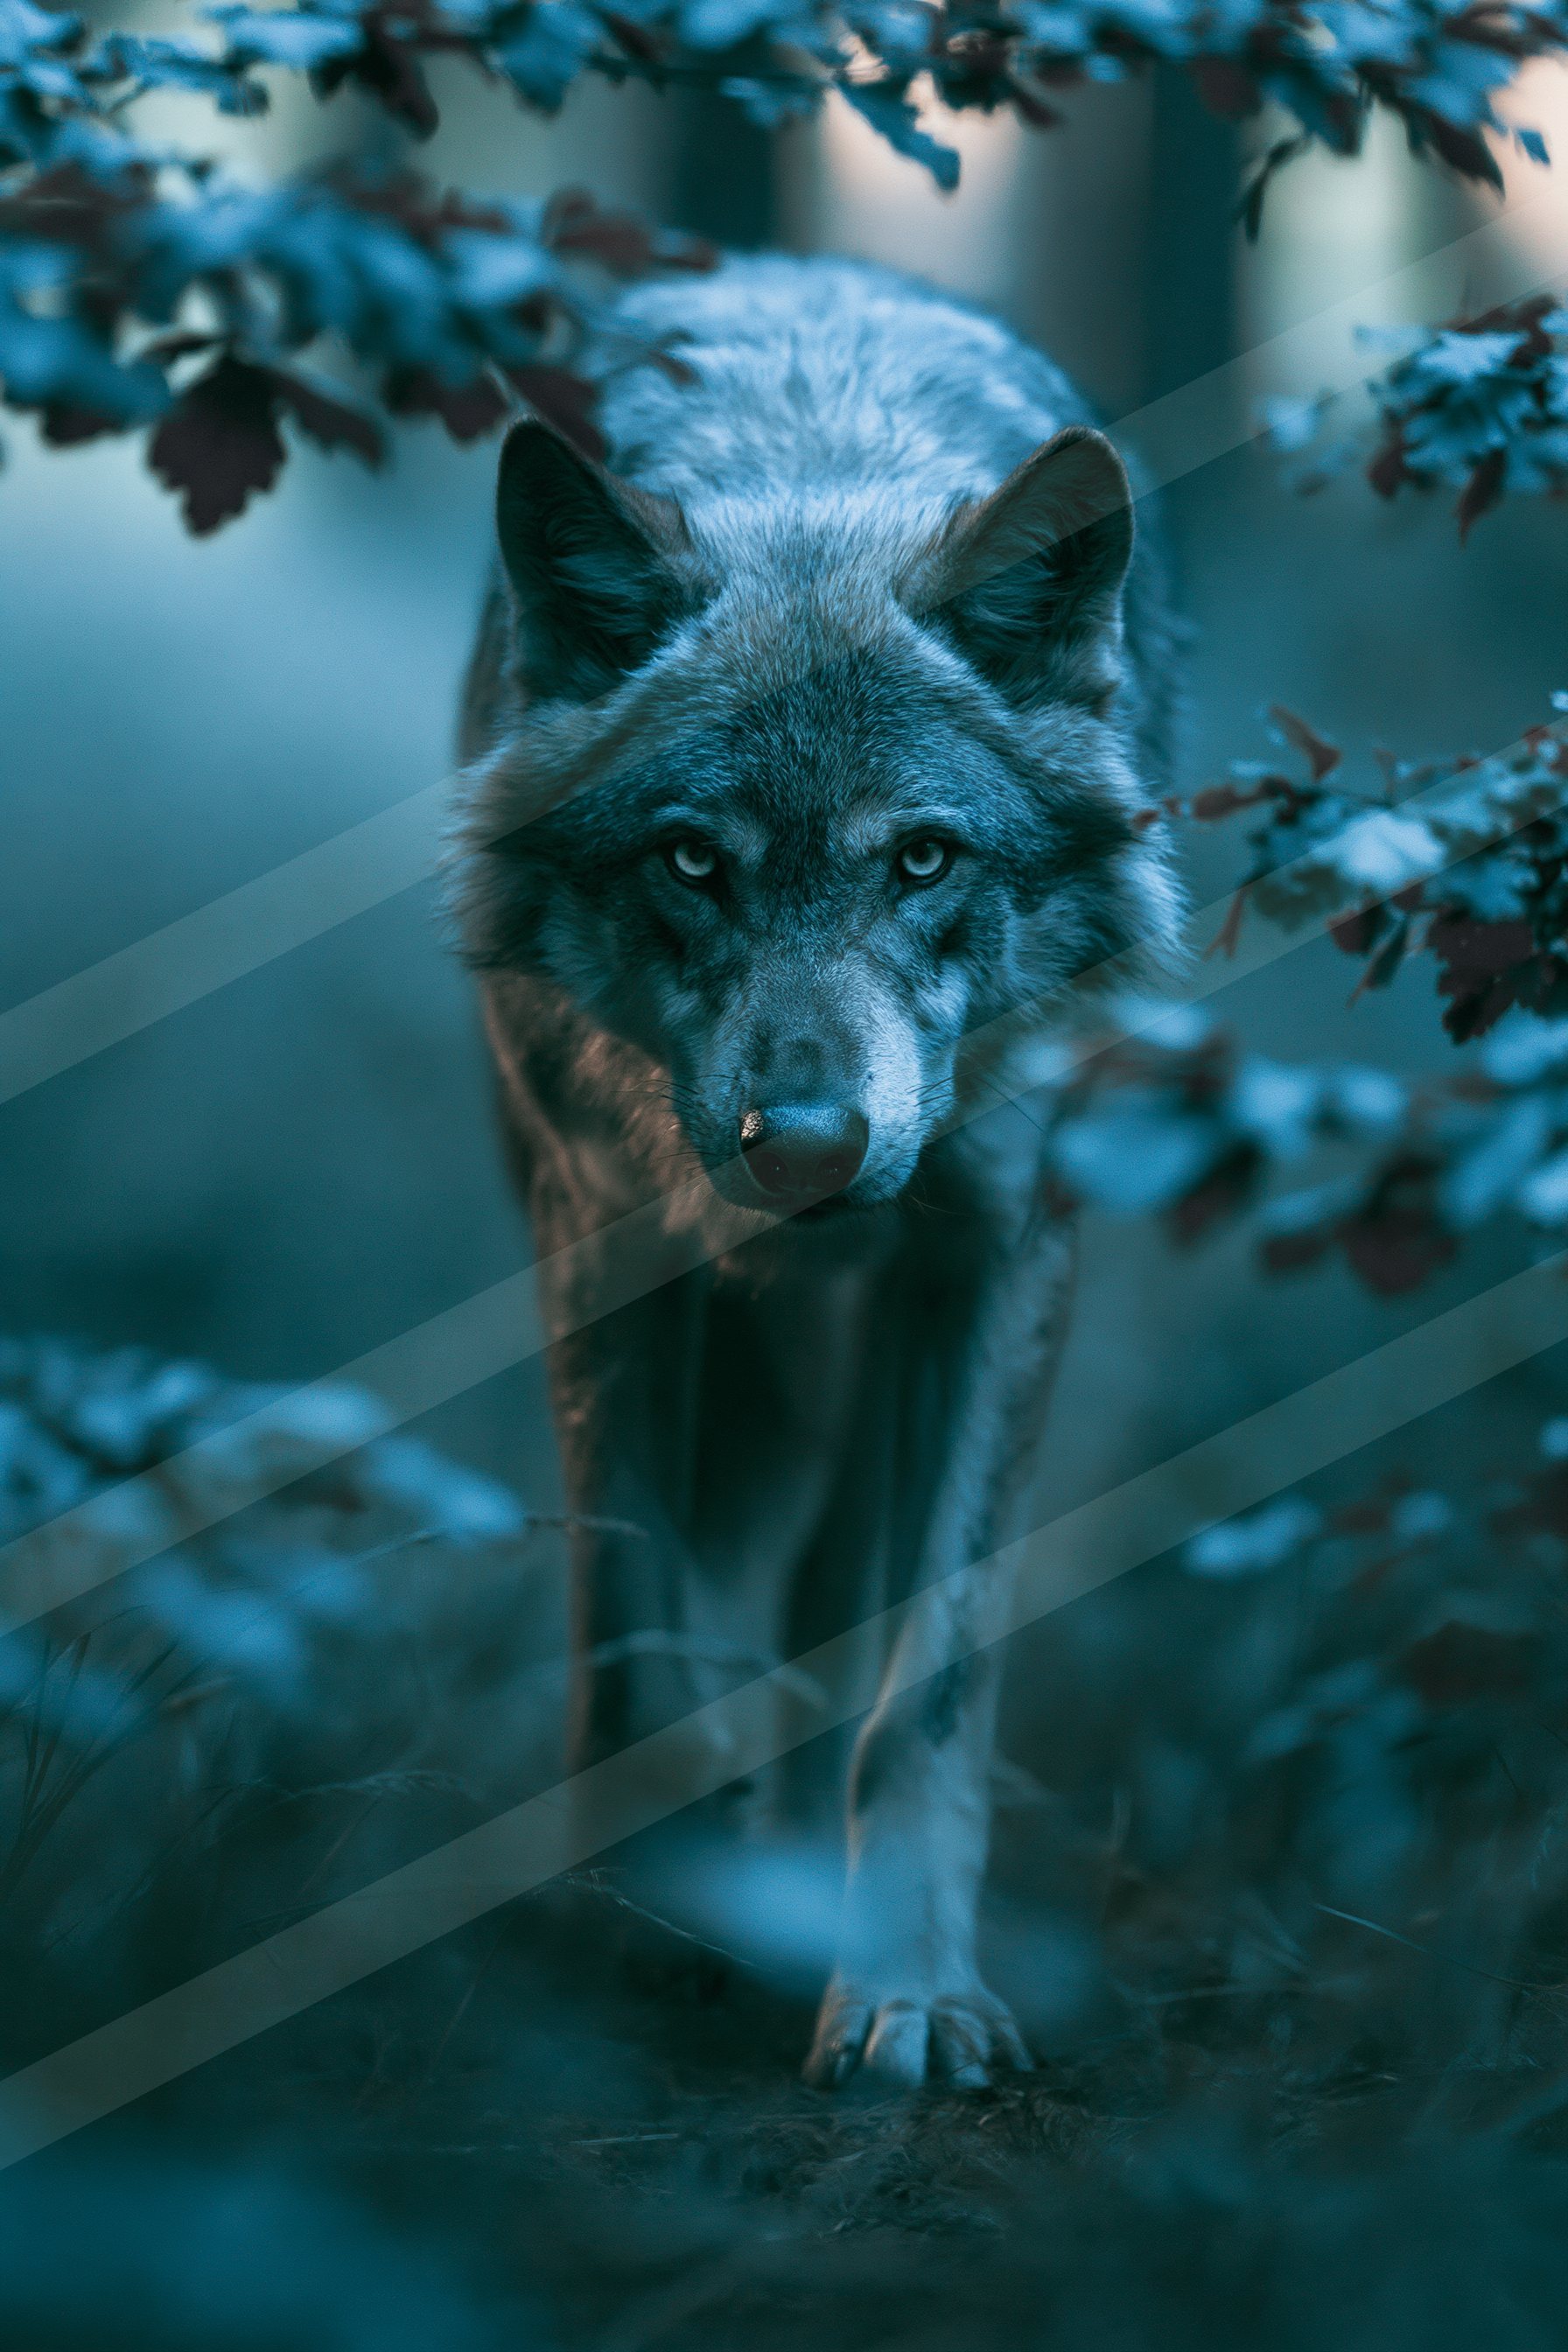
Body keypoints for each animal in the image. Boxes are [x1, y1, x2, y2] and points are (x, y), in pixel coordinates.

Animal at [451, 255, 1183, 2089]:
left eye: (921, 858)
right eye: (690, 862)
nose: (804, 1146)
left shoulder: (993, 1262)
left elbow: (921, 1684)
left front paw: (908, 1993)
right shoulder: (604, 1251)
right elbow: (636, 1625)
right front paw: (648, 1911)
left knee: (833, 1595)